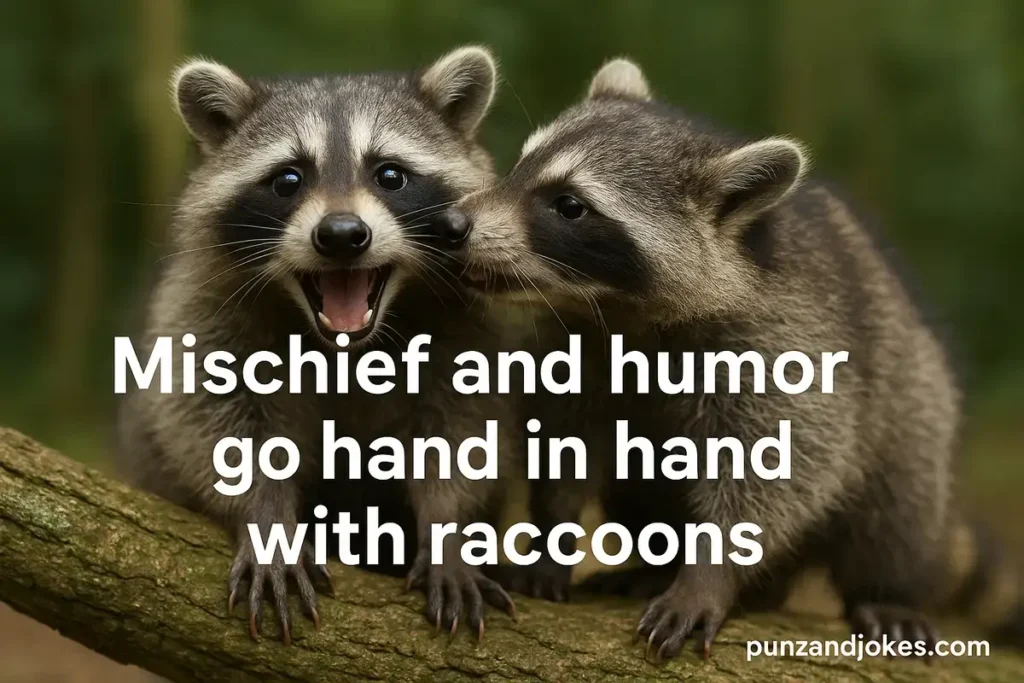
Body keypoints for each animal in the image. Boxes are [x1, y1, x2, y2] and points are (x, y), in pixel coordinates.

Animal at [118, 46, 517, 643]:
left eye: (390, 175)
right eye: (288, 179)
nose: (342, 235)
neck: (347, 345)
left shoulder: (468, 324)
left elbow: (464, 426)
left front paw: (449, 527)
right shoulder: (205, 306)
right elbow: (212, 417)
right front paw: (266, 517)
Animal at [434, 59, 1023, 659]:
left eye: (569, 206)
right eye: (520, 165)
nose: (453, 225)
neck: (618, 309)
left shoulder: (786, 343)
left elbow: (783, 463)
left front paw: (710, 573)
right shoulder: (575, 343)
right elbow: (565, 440)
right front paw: (553, 534)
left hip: (916, 404)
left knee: (897, 509)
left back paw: (883, 588)